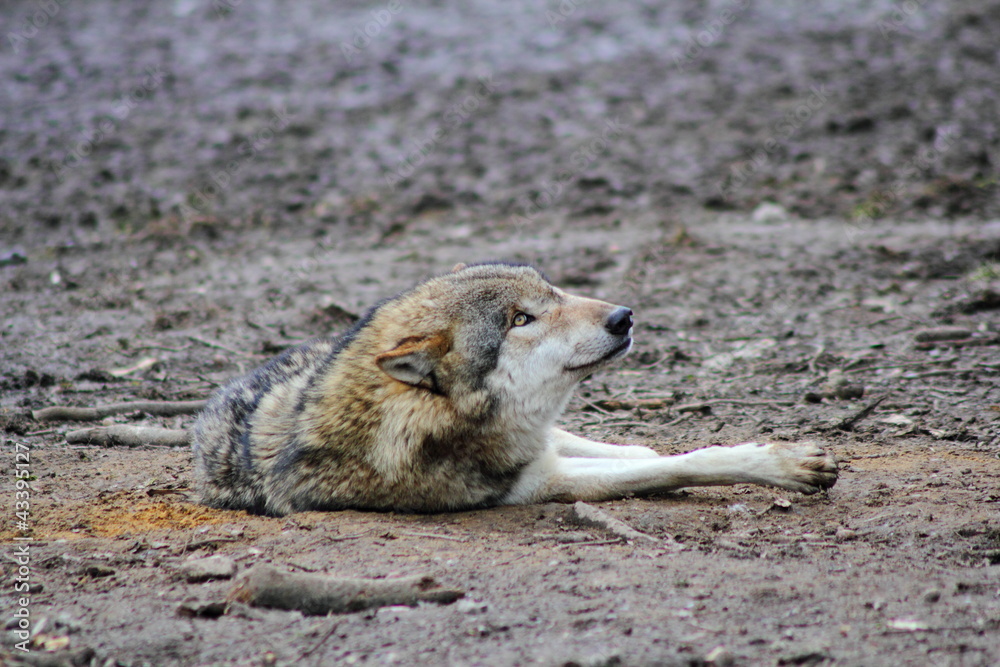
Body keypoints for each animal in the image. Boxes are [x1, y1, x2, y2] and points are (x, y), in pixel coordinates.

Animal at [193, 262, 837, 516]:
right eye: (519, 320)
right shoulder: (535, 483)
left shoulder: (541, 450)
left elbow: (650, 454)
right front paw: (783, 463)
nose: (624, 317)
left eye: (553, 294)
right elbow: (680, 464)